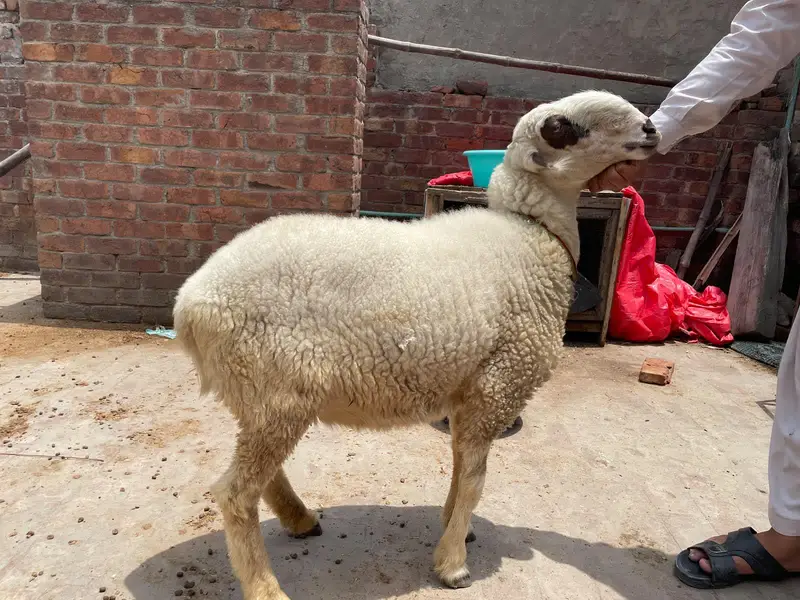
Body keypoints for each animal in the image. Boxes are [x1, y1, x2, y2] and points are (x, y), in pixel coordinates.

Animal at [172, 89, 661, 600]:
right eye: (564, 129)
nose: (651, 129)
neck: (531, 234)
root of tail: (191, 302)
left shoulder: (468, 389)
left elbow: (461, 466)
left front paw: (455, 528)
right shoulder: (499, 382)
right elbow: (475, 480)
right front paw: (453, 565)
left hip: (257, 391)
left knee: (262, 475)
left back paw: (300, 519)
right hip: (276, 387)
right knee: (235, 494)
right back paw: (266, 587)